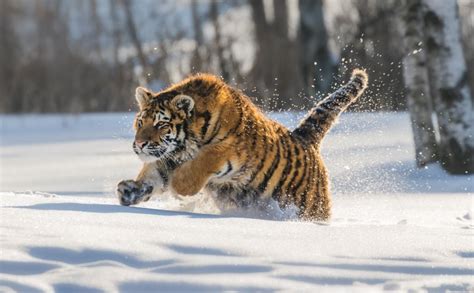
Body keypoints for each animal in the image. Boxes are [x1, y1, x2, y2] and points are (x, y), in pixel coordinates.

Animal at [116, 68, 368, 219]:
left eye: (161, 124)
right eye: (141, 122)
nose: (140, 144)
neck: (184, 146)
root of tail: (306, 139)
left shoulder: (226, 150)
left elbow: (196, 167)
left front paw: (180, 190)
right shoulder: (167, 158)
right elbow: (151, 176)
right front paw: (129, 190)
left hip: (312, 208)